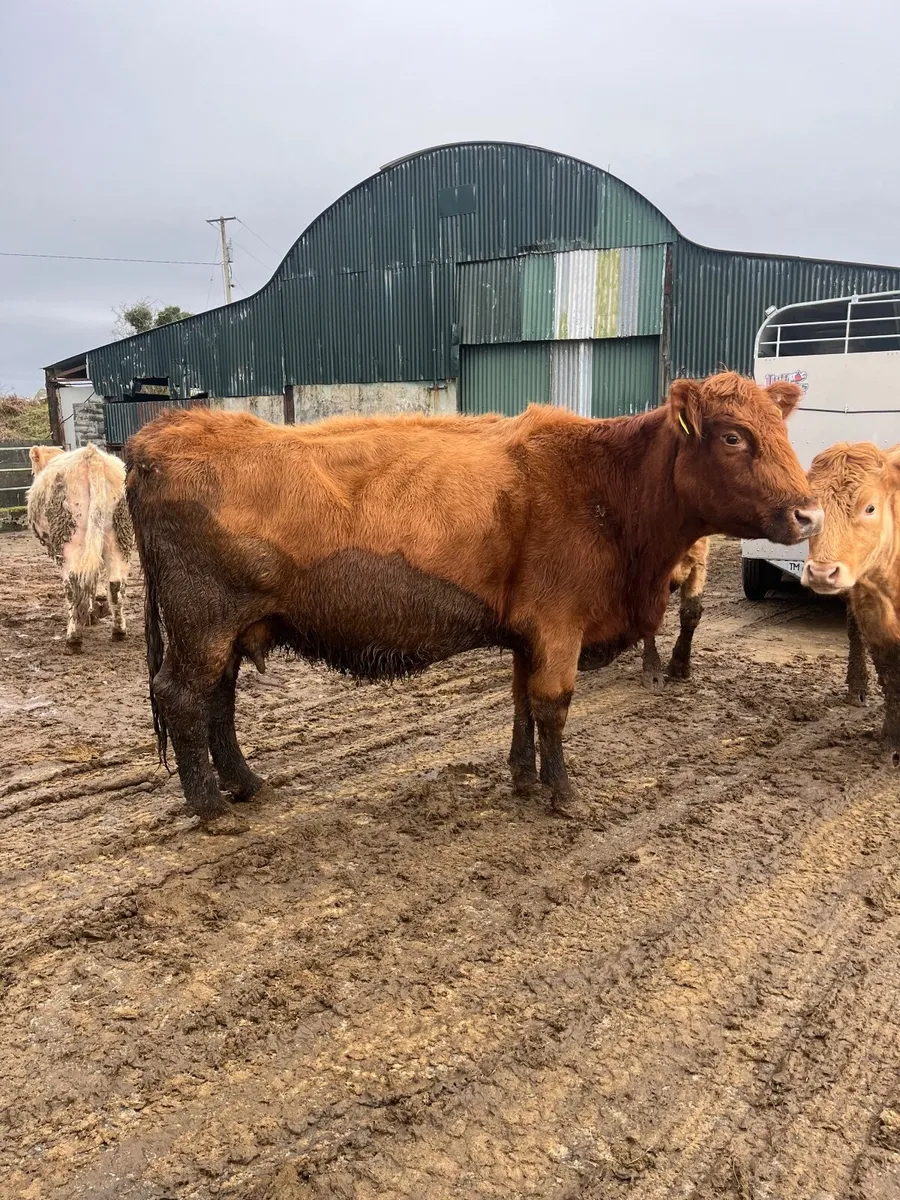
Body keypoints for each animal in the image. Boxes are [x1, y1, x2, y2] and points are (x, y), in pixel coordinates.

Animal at [27, 443, 134, 652]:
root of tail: (91, 456)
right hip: (117, 535)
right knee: (115, 584)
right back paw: (119, 631)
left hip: (70, 539)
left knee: (73, 584)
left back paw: (73, 638)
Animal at [802, 441, 900, 766]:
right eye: (811, 512)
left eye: (870, 507)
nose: (821, 572)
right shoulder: (877, 624)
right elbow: (893, 679)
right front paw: (893, 744)